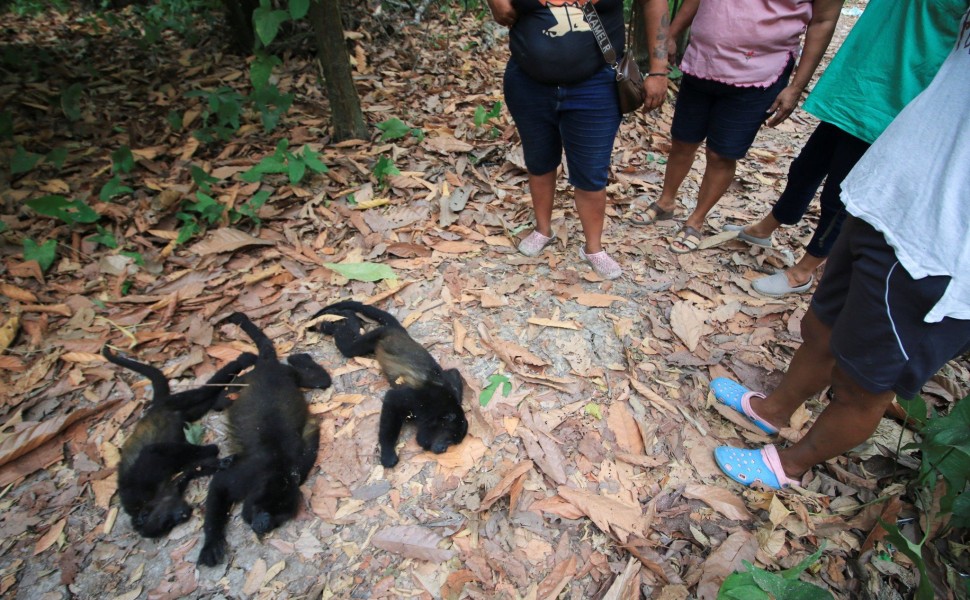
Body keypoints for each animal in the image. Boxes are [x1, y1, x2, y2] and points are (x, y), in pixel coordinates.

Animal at [103, 346, 258, 540]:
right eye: (168, 525)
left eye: (165, 520)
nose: (183, 516)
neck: (150, 500)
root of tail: (152, 408)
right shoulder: (172, 488)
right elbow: (190, 470)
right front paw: (222, 463)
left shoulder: (141, 476)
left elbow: (154, 450)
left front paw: (212, 449)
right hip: (182, 412)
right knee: (205, 402)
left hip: (172, 403)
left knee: (201, 392)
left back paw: (241, 362)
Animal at [198, 314, 332, 568]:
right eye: (267, 510)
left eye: (279, 518)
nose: (264, 525)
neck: (277, 471)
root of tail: (268, 366)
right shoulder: (247, 474)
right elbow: (219, 485)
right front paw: (211, 543)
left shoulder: (298, 468)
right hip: (247, 380)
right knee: (220, 401)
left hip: (290, 375)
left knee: (320, 380)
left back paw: (300, 358)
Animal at [308, 300, 464, 468]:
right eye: (450, 438)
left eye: (453, 442)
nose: (443, 449)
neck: (440, 408)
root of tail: (399, 331)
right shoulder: (420, 399)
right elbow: (392, 400)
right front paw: (388, 454)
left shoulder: (449, 386)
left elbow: (454, 372)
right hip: (378, 335)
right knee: (349, 347)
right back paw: (338, 322)